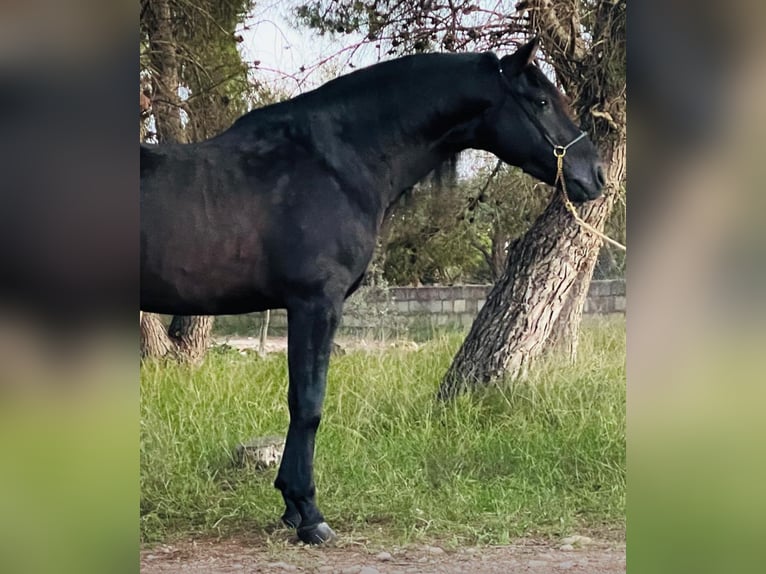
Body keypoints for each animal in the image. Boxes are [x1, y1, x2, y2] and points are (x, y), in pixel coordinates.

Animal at [140, 39, 608, 544]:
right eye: (540, 102)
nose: (596, 175)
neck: (335, 164)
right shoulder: (315, 304)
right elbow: (308, 403)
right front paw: (309, 514)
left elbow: (300, 401)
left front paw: (292, 508)